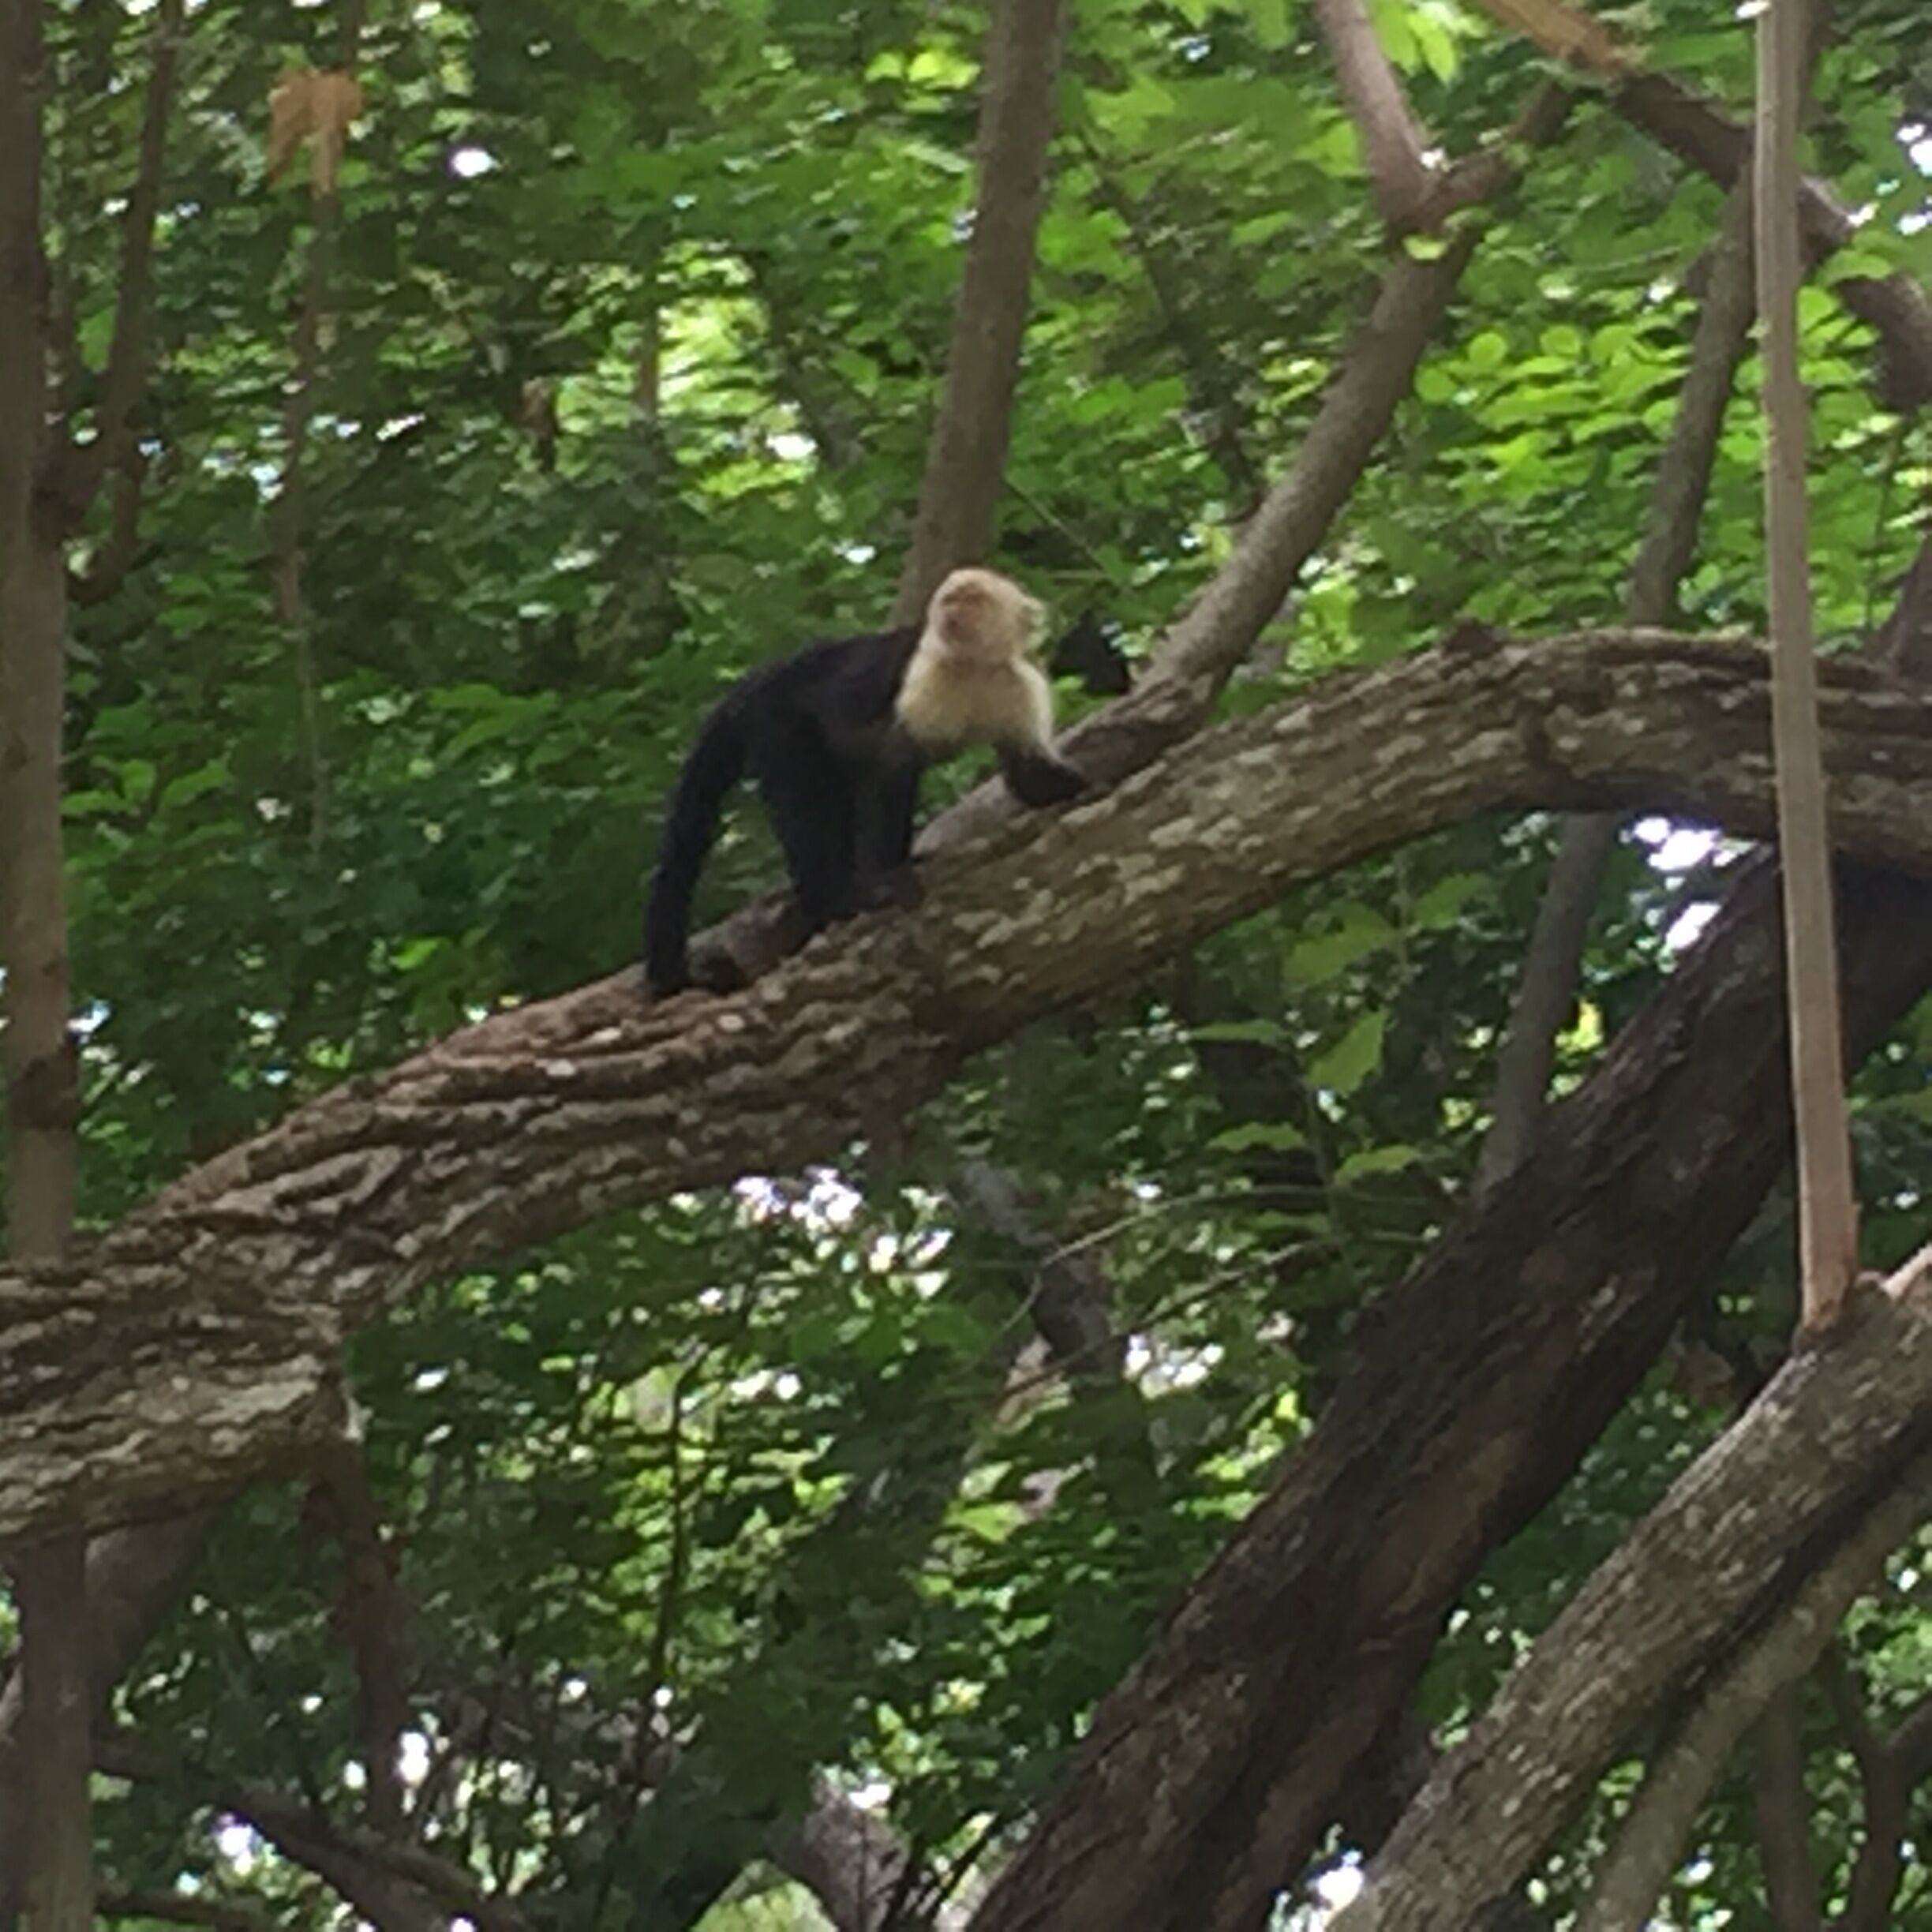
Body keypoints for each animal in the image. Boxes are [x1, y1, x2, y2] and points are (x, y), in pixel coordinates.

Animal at [642, 567, 1085, 996]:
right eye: (949, 599)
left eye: (972, 598)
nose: (952, 614)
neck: (971, 666)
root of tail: (770, 674)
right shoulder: (924, 675)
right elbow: (894, 767)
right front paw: (888, 881)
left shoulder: (1015, 686)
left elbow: (1029, 778)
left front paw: (1080, 784)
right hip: (778, 722)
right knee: (805, 803)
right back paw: (832, 900)